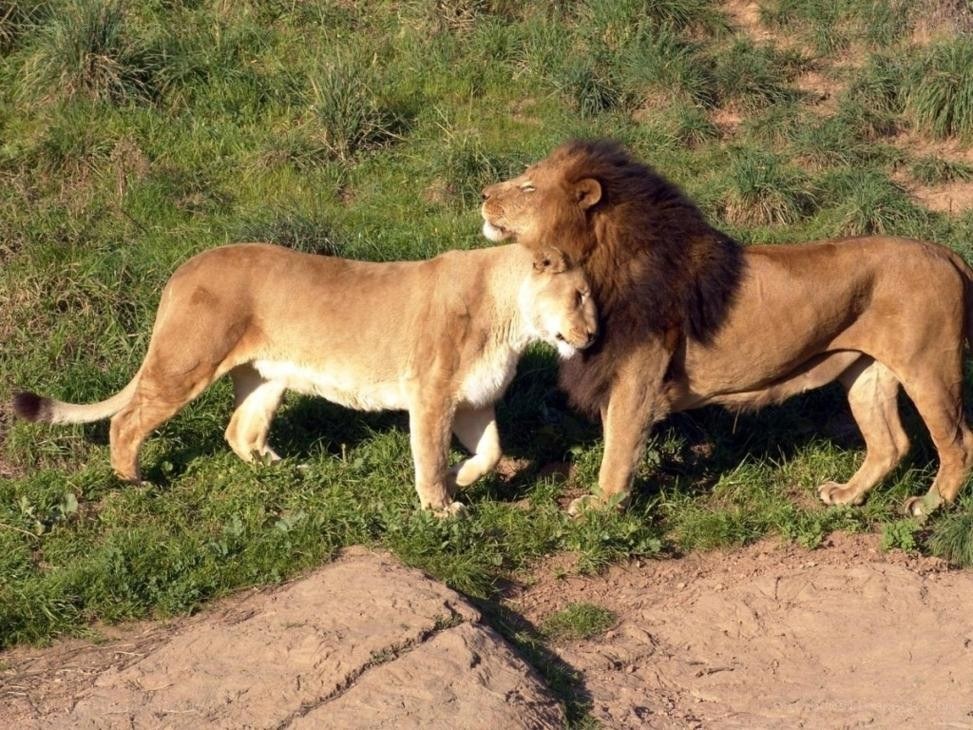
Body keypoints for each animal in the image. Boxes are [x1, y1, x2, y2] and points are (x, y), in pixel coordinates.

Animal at [12, 242, 597, 515]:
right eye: (579, 296)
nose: (592, 335)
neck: (512, 320)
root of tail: (184, 269)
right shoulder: (431, 395)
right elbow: (429, 457)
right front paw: (441, 507)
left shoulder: (474, 399)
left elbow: (492, 452)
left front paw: (461, 479)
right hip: (187, 361)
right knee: (129, 420)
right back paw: (134, 480)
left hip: (267, 376)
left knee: (239, 431)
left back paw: (285, 470)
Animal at [481, 139, 973, 517]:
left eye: (528, 185)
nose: (483, 193)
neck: (595, 264)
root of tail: (946, 253)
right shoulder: (615, 371)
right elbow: (613, 439)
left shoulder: (636, 378)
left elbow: (617, 448)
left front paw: (601, 507)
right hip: (866, 370)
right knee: (891, 443)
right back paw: (847, 495)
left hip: (929, 368)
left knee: (958, 441)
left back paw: (930, 506)